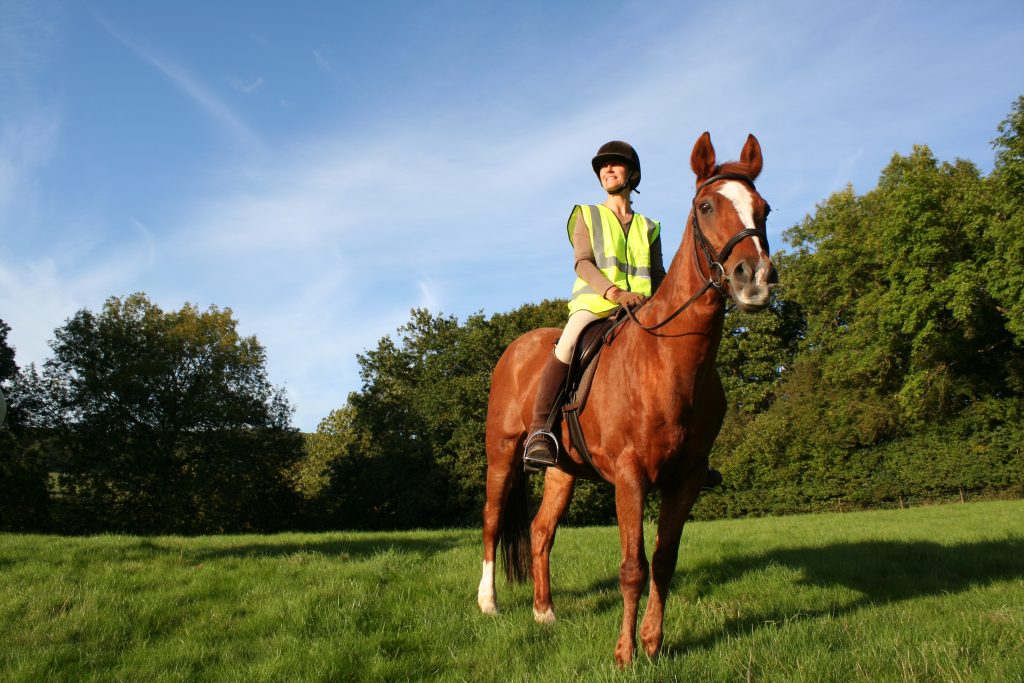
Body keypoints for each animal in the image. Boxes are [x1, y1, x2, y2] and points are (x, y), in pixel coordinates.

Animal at [476, 132, 777, 666]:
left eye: (763, 209)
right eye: (705, 206)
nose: (755, 279)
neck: (670, 360)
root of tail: (515, 348)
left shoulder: (687, 480)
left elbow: (664, 561)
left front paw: (654, 644)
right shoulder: (631, 477)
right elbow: (633, 566)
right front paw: (625, 653)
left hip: (562, 470)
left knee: (540, 532)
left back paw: (544, 612)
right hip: (502, 454)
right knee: (492, 523)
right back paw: (489, 603)